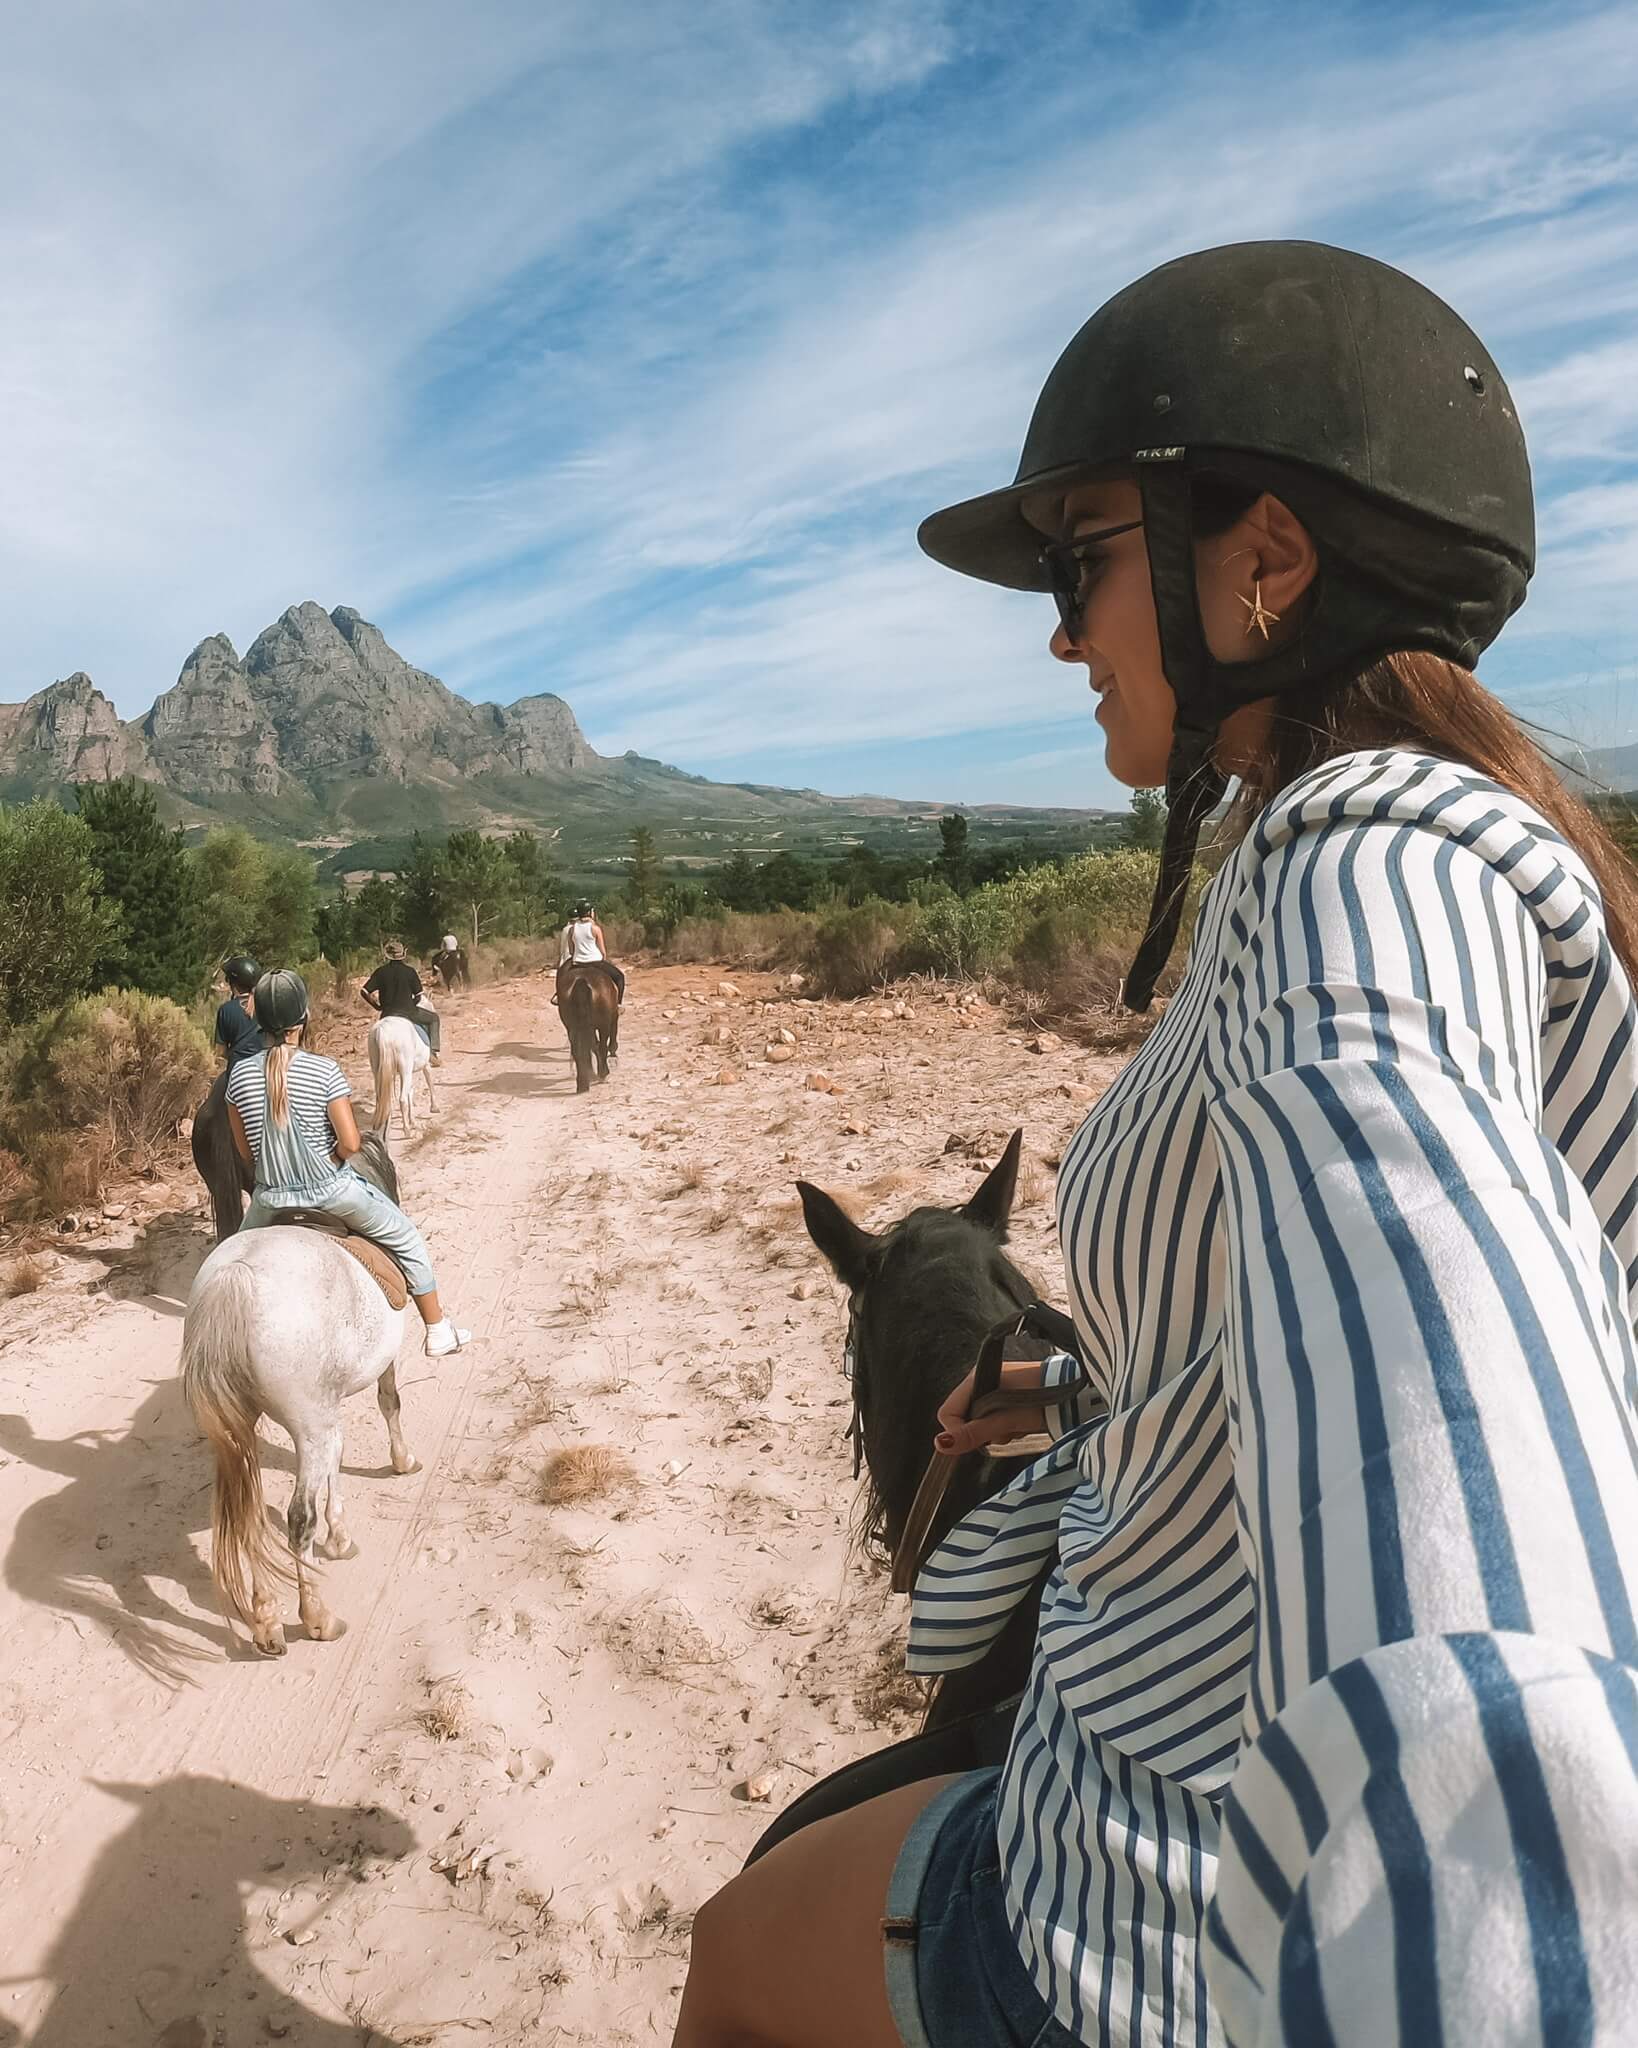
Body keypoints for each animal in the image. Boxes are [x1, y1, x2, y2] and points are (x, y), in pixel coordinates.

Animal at [180, 1130, 421, 1654]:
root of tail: (236, 1280)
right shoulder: (364, 1381)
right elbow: (389, 1403)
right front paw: (401, 1461)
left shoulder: (327, 1410)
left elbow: (336, 1456)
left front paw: (340, 1536)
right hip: (305, 1423)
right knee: (296, 1519)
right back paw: (317, 1618)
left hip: (241, 1429)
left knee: (247, 1514)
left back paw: (266, 1620)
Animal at [368, 1015, 434, 1146]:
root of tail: (382, 1029)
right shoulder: (424, 1066)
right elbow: (429, 1082)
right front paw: (434, 1107)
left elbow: (410, 1092)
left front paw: (412, 1120)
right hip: (405, 1070)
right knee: (402, 1099)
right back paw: (407, 1131)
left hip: (377, 1072)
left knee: (382, 1100)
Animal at [556, 958, 622, 1089]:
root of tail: (582, 980)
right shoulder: (612, 1018)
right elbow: (609, 1042)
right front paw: (613, 1055)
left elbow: (591, 1046)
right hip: (603, 1025)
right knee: (602, 1047)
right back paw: (603, 1074)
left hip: (572, 1027)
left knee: (580, 1049)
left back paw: (584, 1081)